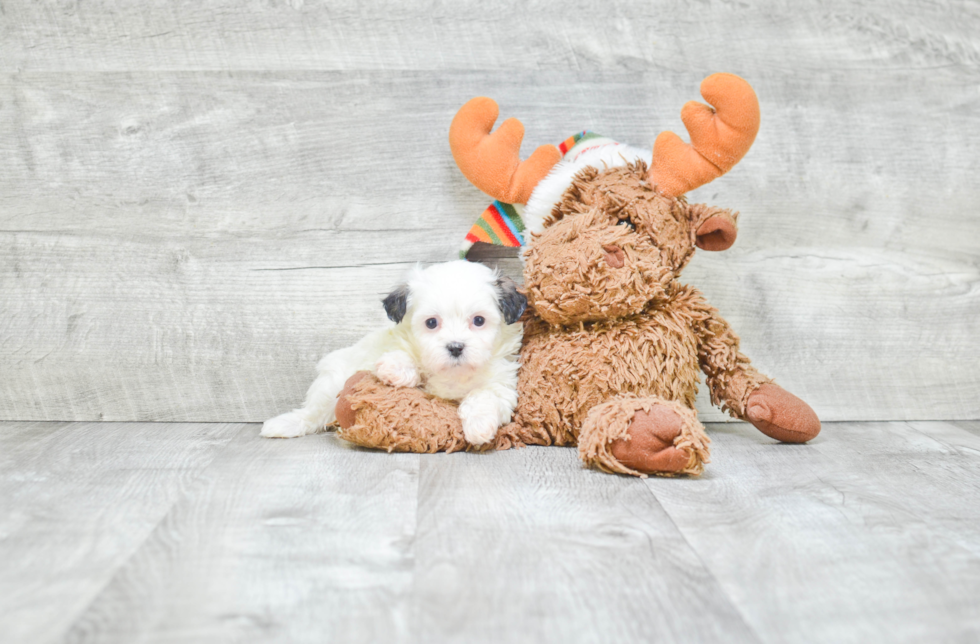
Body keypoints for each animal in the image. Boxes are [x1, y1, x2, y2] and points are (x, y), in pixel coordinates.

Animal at [256, 260, 524, 446]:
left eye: (479, 321)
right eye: (431, 323)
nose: (455, 347)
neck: (453, 373)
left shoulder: (502, 384)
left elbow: (484, 396)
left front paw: (479, 425)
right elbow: (399, 355)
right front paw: (396, 369)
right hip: (332, 382)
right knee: (314, 411)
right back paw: (284, 424)